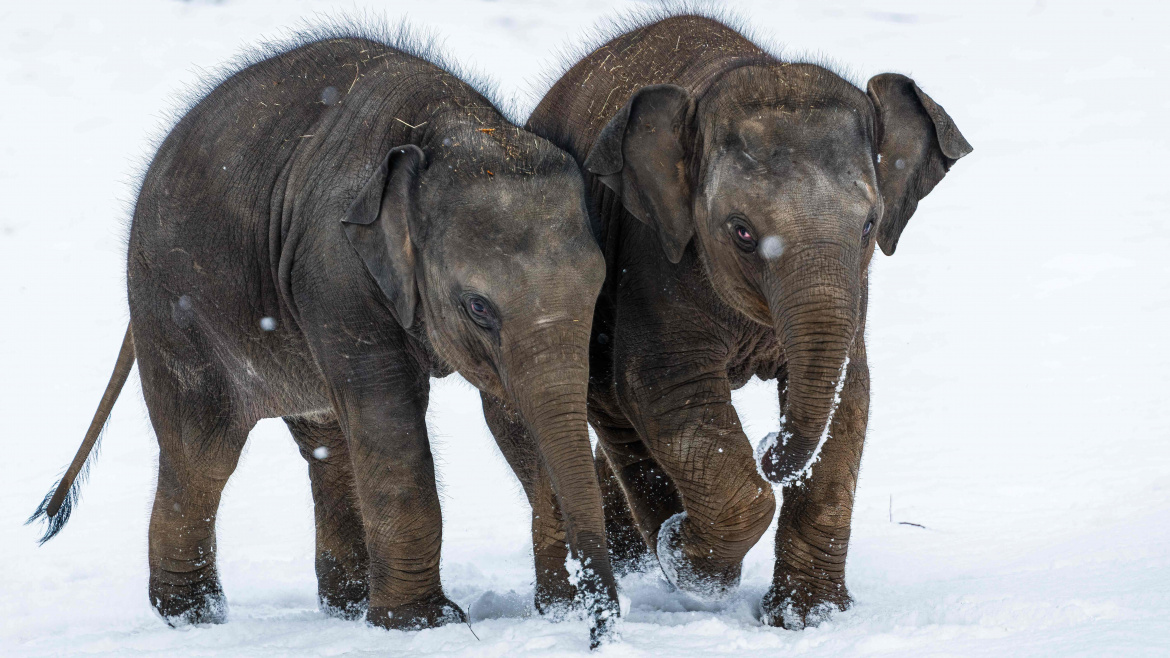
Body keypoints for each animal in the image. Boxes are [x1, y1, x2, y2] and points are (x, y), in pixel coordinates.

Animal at [22, 26, 617, 646]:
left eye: (600, 291)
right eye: (478, 306)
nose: (598, 627)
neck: (448, 127)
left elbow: (511, 414)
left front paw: (557, 608)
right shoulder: (334, 267)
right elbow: (389, 413)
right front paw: (419, 625)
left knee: (326, 442)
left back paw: (346, 606)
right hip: (170, 305)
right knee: (201, 451)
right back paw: (192, 618)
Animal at [489, 11, 973, 622]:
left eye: (869, 225)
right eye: (741, 232)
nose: (768, 447)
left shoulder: (854, 294)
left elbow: (850, 398)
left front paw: (806, 619)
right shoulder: (652, 255)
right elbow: (662, 388)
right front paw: (686, 558)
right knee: (614, 409)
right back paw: (656, 545)